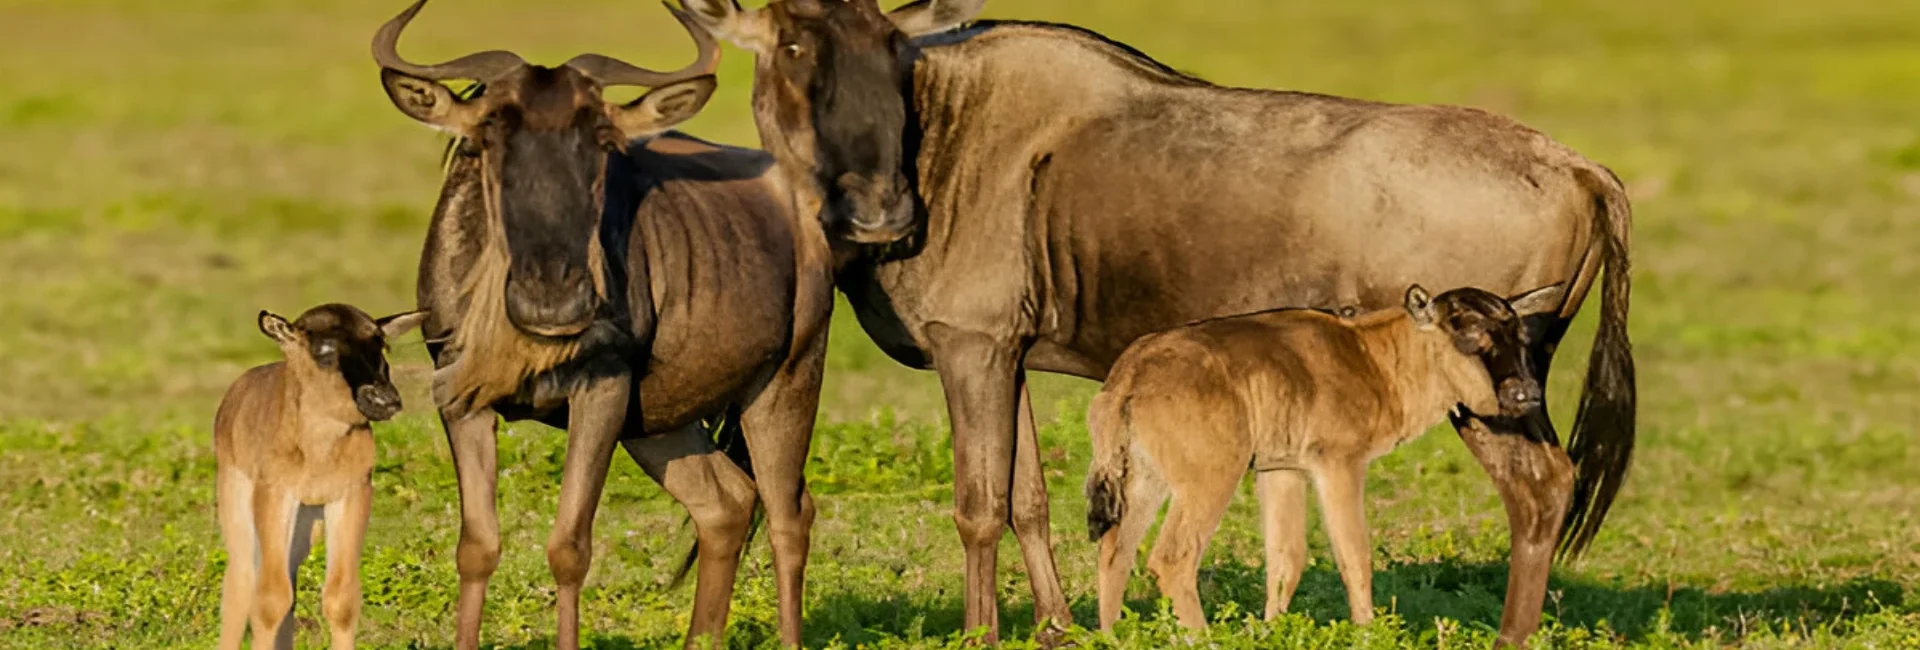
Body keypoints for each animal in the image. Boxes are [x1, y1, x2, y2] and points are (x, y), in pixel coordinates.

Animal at [217, 304, 428, 650]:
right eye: (323, 349)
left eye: (381, 343)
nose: (383, 399)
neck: (318, 451)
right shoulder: (275, 494)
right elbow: (268, 599)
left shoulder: (351, 495)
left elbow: (341, 599)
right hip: (237, 501)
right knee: (241, 581)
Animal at [1082, 285, 1559, 632]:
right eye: (1466, 334)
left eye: (1518, 335)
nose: (1526, 394)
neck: (1374, 357)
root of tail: (1131, 373)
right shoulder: (1339, 464)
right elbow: (1354, 555)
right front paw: (1367, 633)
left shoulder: (1282, 469)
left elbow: (1286, 559)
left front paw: (1272, 632)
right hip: (1210, 479)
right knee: (1173, 558)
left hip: (1146, 478)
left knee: (1114, 549)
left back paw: (1112, 635)